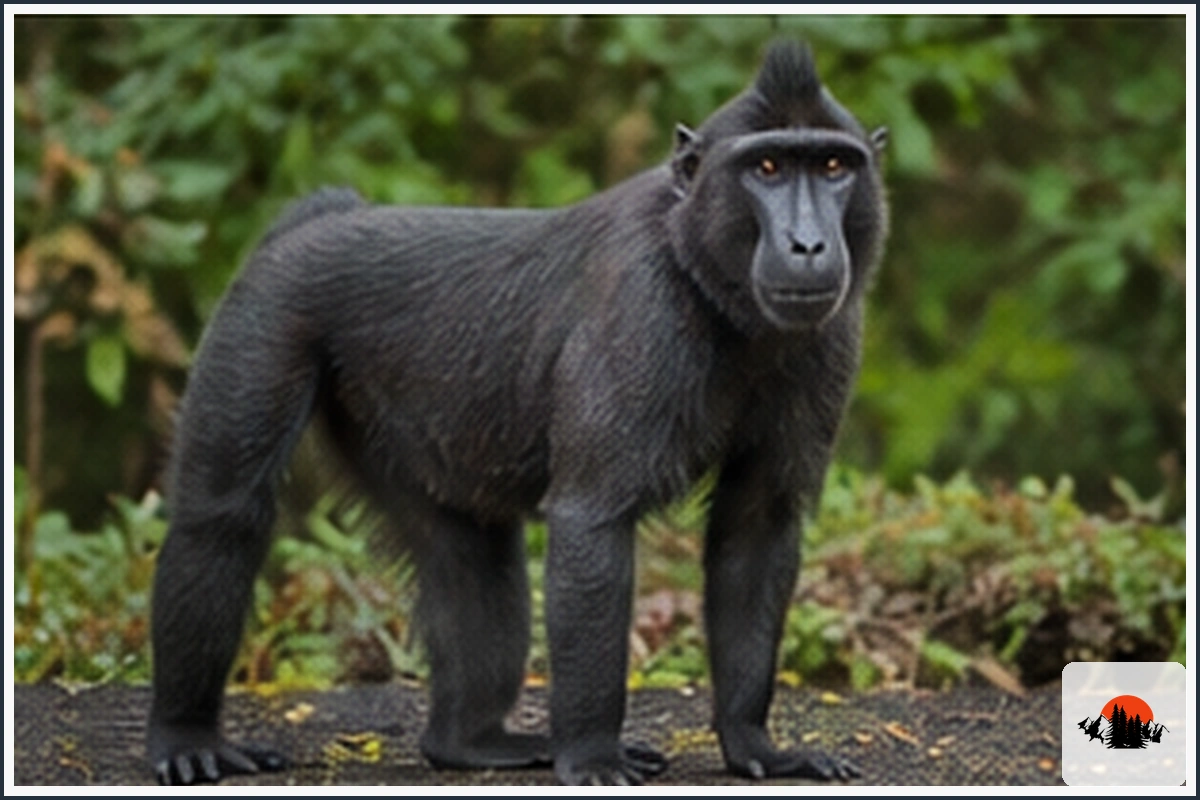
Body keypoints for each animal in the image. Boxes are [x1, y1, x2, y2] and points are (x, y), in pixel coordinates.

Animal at [146, 40, 888, 786]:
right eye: (767, 167)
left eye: (832, 166)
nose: (807, 245)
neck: (705, 272)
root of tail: (325, 219)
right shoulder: (640, 310)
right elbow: (593, 519)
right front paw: (592, 753)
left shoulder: (832, 337)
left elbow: (757, 525)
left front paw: (754, 743)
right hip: (270, 313)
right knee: (223, 514)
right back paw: (186, 733)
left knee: (469, 549)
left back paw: (468, 741)